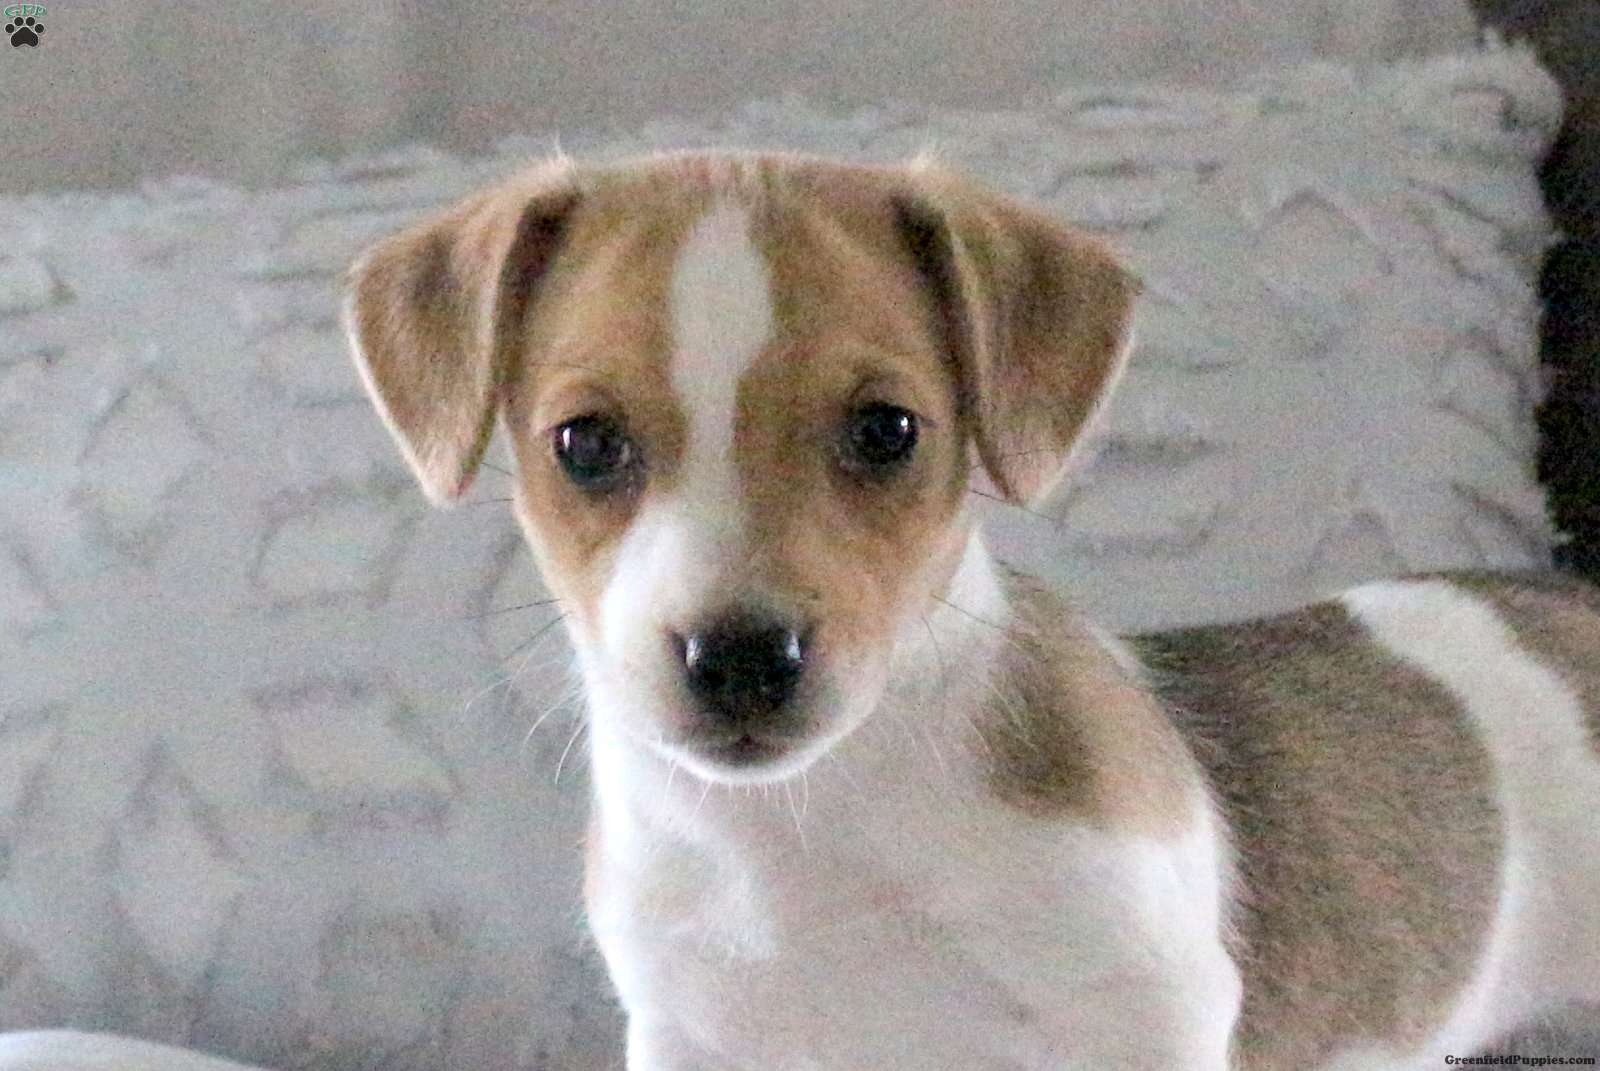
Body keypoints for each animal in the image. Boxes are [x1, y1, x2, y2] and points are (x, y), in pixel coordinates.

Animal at [4, 152, 1598, 1070]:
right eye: (584, 442)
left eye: (888, 431)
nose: (739, 656)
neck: (816, 842)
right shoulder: (695, 1035)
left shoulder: (1136, 1015)